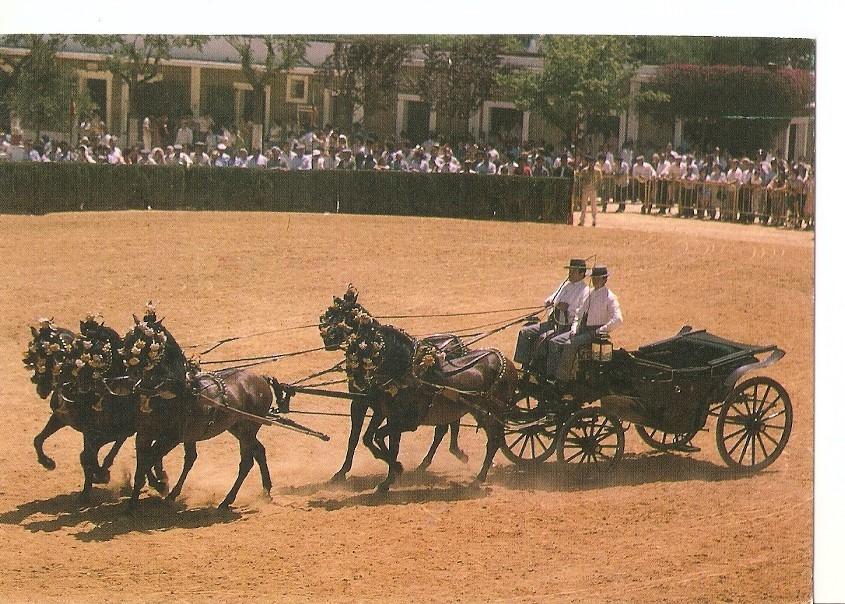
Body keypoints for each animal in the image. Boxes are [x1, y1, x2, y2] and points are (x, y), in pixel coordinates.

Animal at [320, 286, 472, 484]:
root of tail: (459, 344)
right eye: (330, 314)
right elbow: (357, 438)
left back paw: (446, 456)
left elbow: (374, 438)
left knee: (445, 426)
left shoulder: (382, 408)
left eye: (345, 315)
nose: (328, 339)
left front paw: (395, 466)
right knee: (445, 426)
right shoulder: (361, 404)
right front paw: (342, 472)